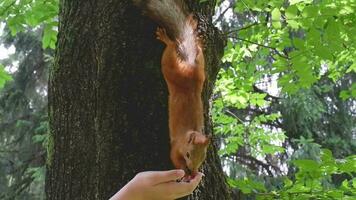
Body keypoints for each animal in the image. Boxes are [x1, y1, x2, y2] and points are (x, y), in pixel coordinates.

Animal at [134, 0, 209, 175]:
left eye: (203, 157)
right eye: (188, 154)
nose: (192, 170)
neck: (186, 137)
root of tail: (189, 67)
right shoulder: (175, 148)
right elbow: (174, 158)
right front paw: (183, 171)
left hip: (200, 69)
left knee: (196, 51)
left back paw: (198, 43)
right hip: (169, 66)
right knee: (172, 46)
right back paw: (166, 39)